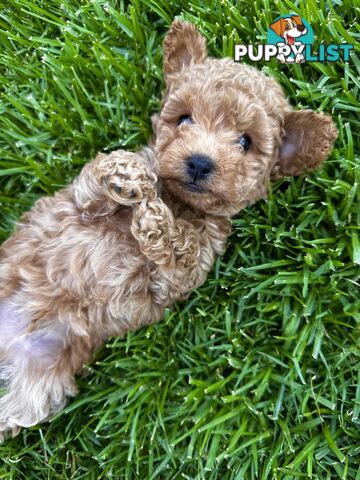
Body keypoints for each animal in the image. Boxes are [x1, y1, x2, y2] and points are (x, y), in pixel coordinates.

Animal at [0, 19, 338, 438]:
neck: (178, 200)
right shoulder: (77, 204)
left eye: (246, 141)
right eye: (185, 119)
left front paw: (155, 219)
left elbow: (180, 248)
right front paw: (127, 176)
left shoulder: (186, 267)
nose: (199, 162)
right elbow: (97, 179)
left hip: (37, 388)